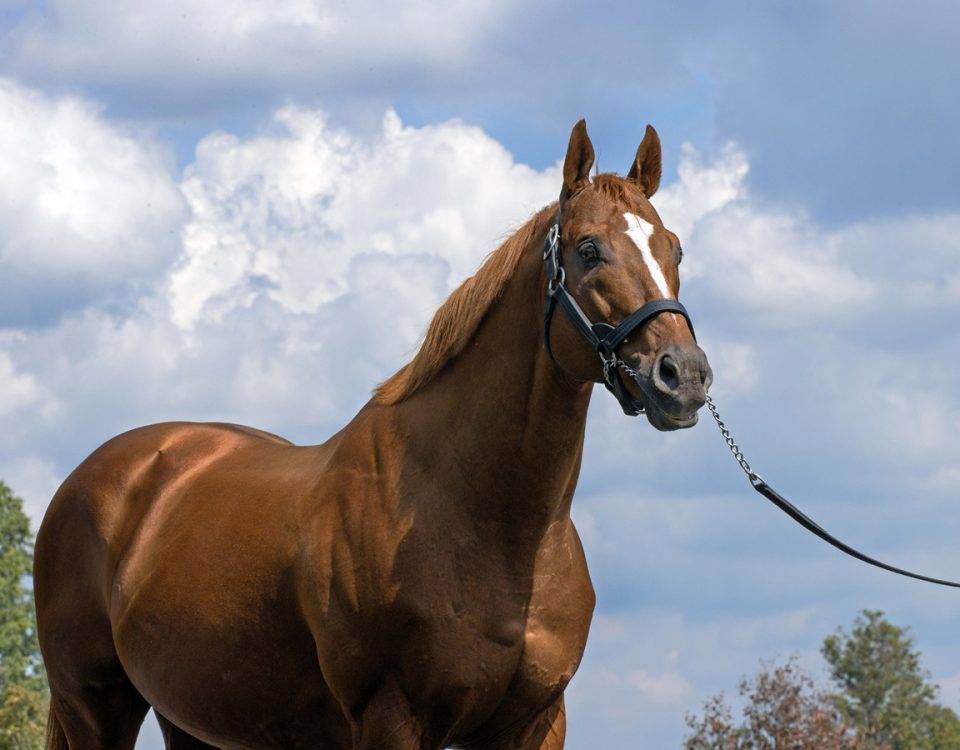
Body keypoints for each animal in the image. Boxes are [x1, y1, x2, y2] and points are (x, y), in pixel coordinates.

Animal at [35, 120, 712, 748]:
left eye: (675, 249)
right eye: (589, 249)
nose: (683, 376)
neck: (490, 525)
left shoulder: (537, 722)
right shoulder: (393, 718)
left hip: (192, 719)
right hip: (94, 707)